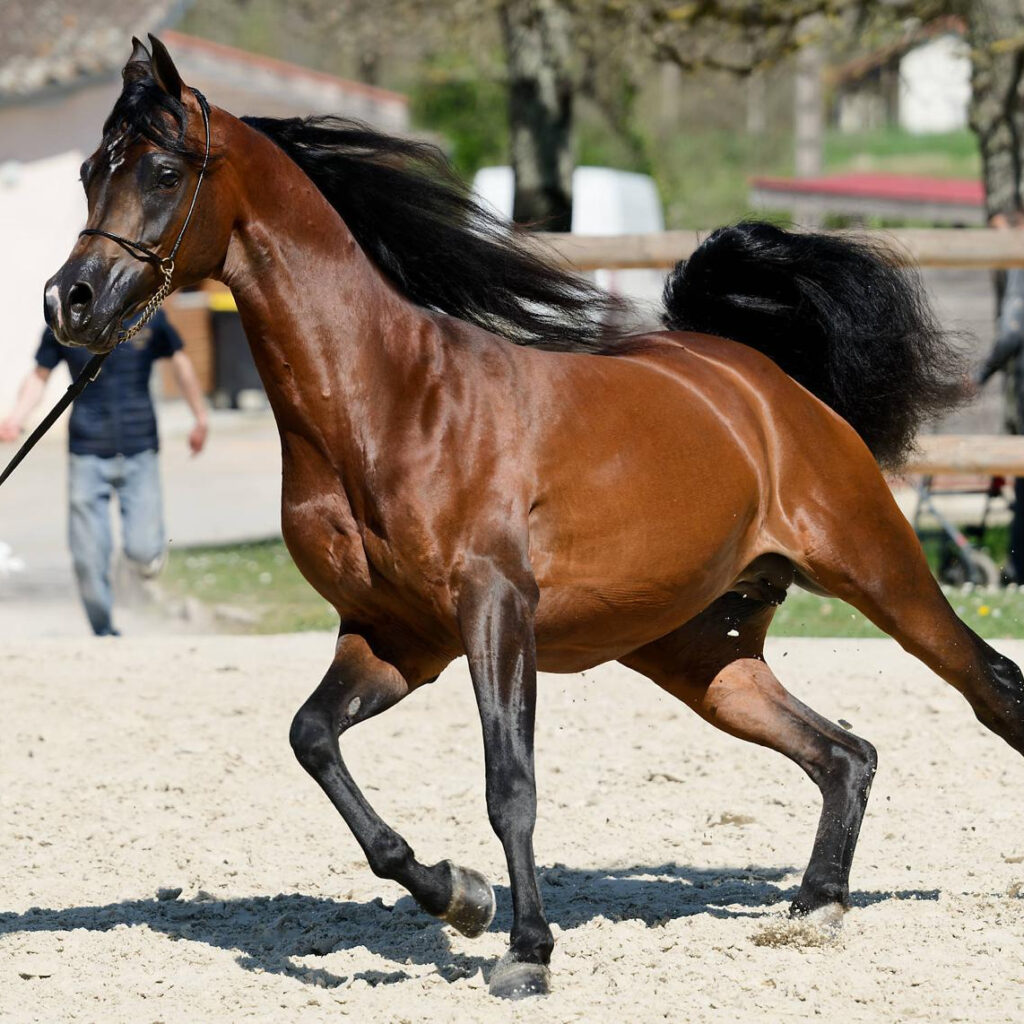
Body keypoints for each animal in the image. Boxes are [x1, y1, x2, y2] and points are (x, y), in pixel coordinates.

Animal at [44, 35, 1024, 999]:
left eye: (164, 171)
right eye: (90, 170)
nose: (70, 302)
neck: (389, 401)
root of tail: (766, 384)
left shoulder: (495, 609)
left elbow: (509, 784)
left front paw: (527, 951)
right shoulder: (395, 636)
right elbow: (313, 739)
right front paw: (459, 896)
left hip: (878, 572)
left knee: (990, 688)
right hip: (702, 654)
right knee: (843, 753)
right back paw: (815, 906)